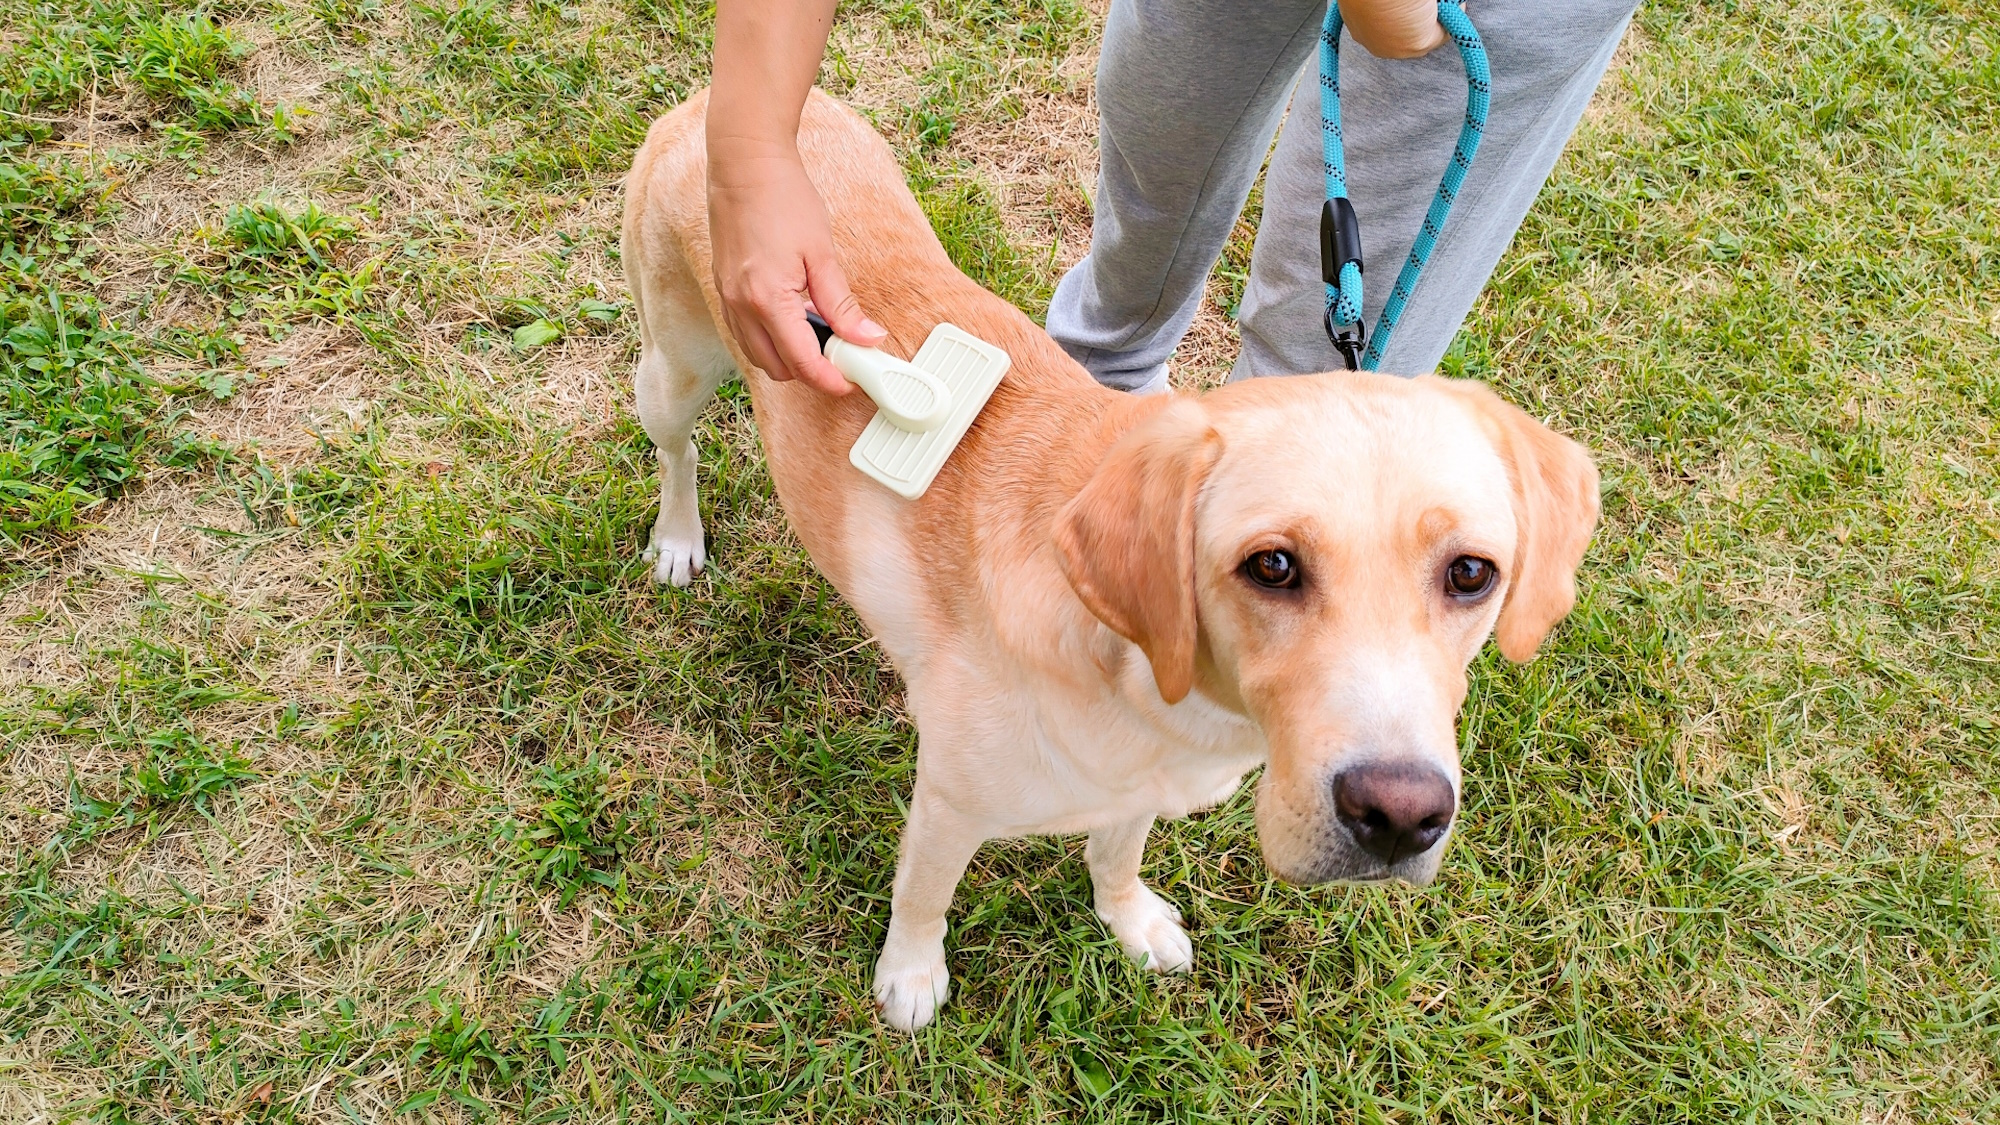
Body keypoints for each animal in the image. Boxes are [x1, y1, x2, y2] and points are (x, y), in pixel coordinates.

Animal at [620, 92, 1592, 1032]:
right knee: (678, 451)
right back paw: (678, 539)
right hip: (676, 370)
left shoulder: (1137, 790)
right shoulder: (950, 802)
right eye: (1272, 566)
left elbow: (1115, 853)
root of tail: (705, 104)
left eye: (1471, 573)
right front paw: (910, 976)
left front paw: (1129, 920)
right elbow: (923, 897)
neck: (1137, 673)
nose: (1400, 817)